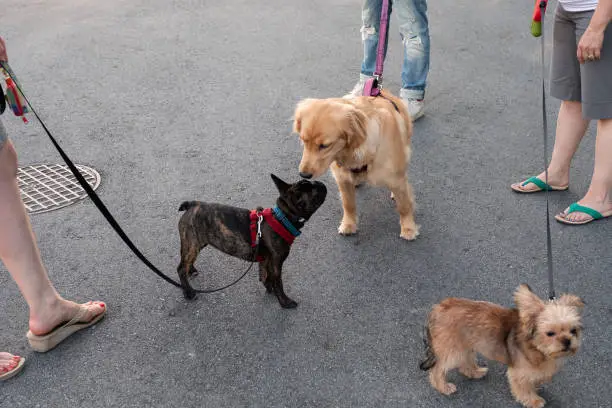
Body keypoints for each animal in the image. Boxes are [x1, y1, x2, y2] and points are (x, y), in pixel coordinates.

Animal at [175, 174, 328, 308]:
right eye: (307, 188)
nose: (319, 182)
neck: (282, 219)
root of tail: (192, 204)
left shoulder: (266, 260)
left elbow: (265, 275)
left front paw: (269, 288)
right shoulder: (276, 263)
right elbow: (278, 282)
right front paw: (284, 301)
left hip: (196, 243)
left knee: (187, 262)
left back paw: (191, 270)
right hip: (191, 244)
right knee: (181, 268)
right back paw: (188, 292)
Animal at [290, 90, 416, 239]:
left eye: (325, 145)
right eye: (303, 140)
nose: (304, 174)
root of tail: (384, 92)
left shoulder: (396, 180)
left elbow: (404, 206)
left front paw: (408, 228)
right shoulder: (342, 179)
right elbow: (348, 204)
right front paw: (349, 224)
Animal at [420, 284, 584, 408]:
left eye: (573, 331)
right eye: (550, 333)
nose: (567, 341)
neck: (537, 347)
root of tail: (437, 308)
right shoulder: (519, 373)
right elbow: (523, 388)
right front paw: (533, 400)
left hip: (465, 344)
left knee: (464, 362)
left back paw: (475, 372)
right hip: (452, 349)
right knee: (437, 370)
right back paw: (443, 387)